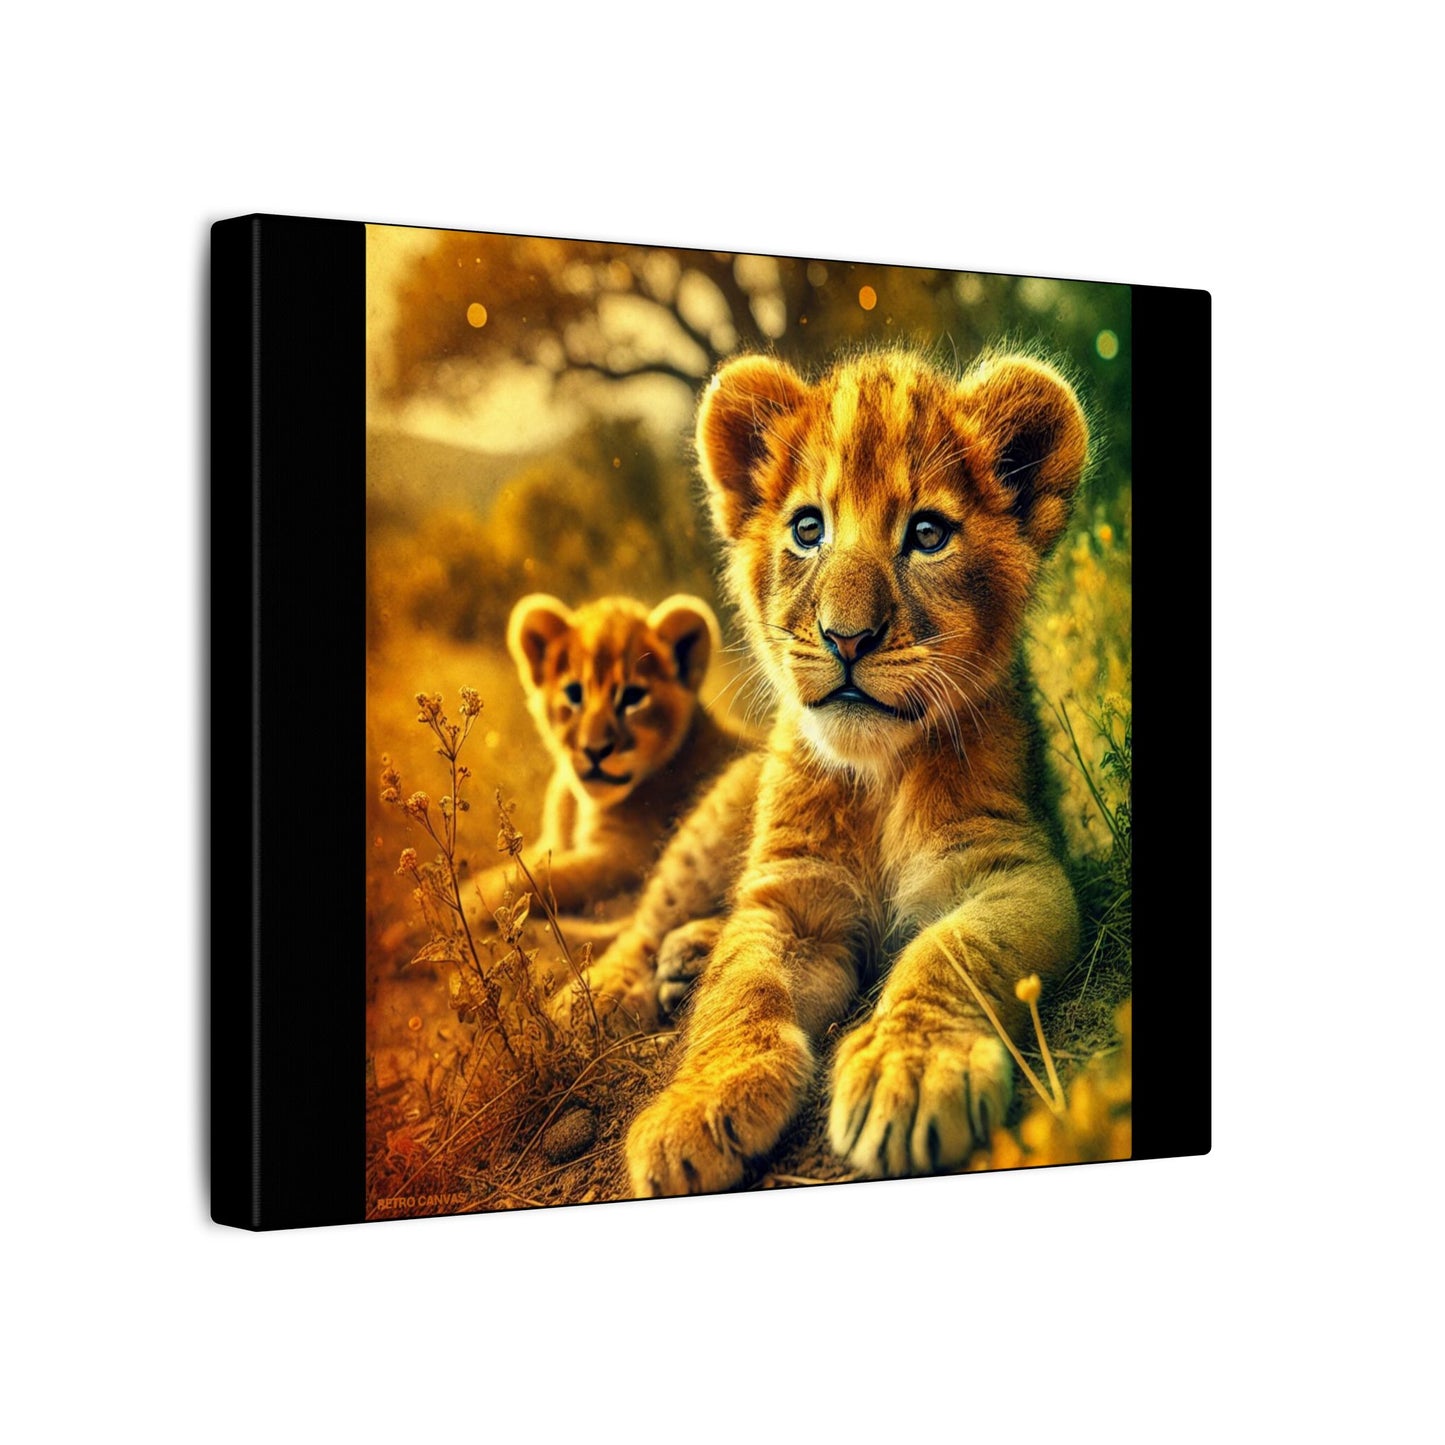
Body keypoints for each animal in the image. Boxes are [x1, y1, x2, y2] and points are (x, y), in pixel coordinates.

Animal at [618, 348, 1089, 1195]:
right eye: (808, 529)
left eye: (928, 534)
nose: (846, 637)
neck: (878, 777)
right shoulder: (790, 894)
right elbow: (741, 988)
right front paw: (692, 1107)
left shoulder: (1013, 869)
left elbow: (952, 953)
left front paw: (910, 1071)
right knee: (638, 928)